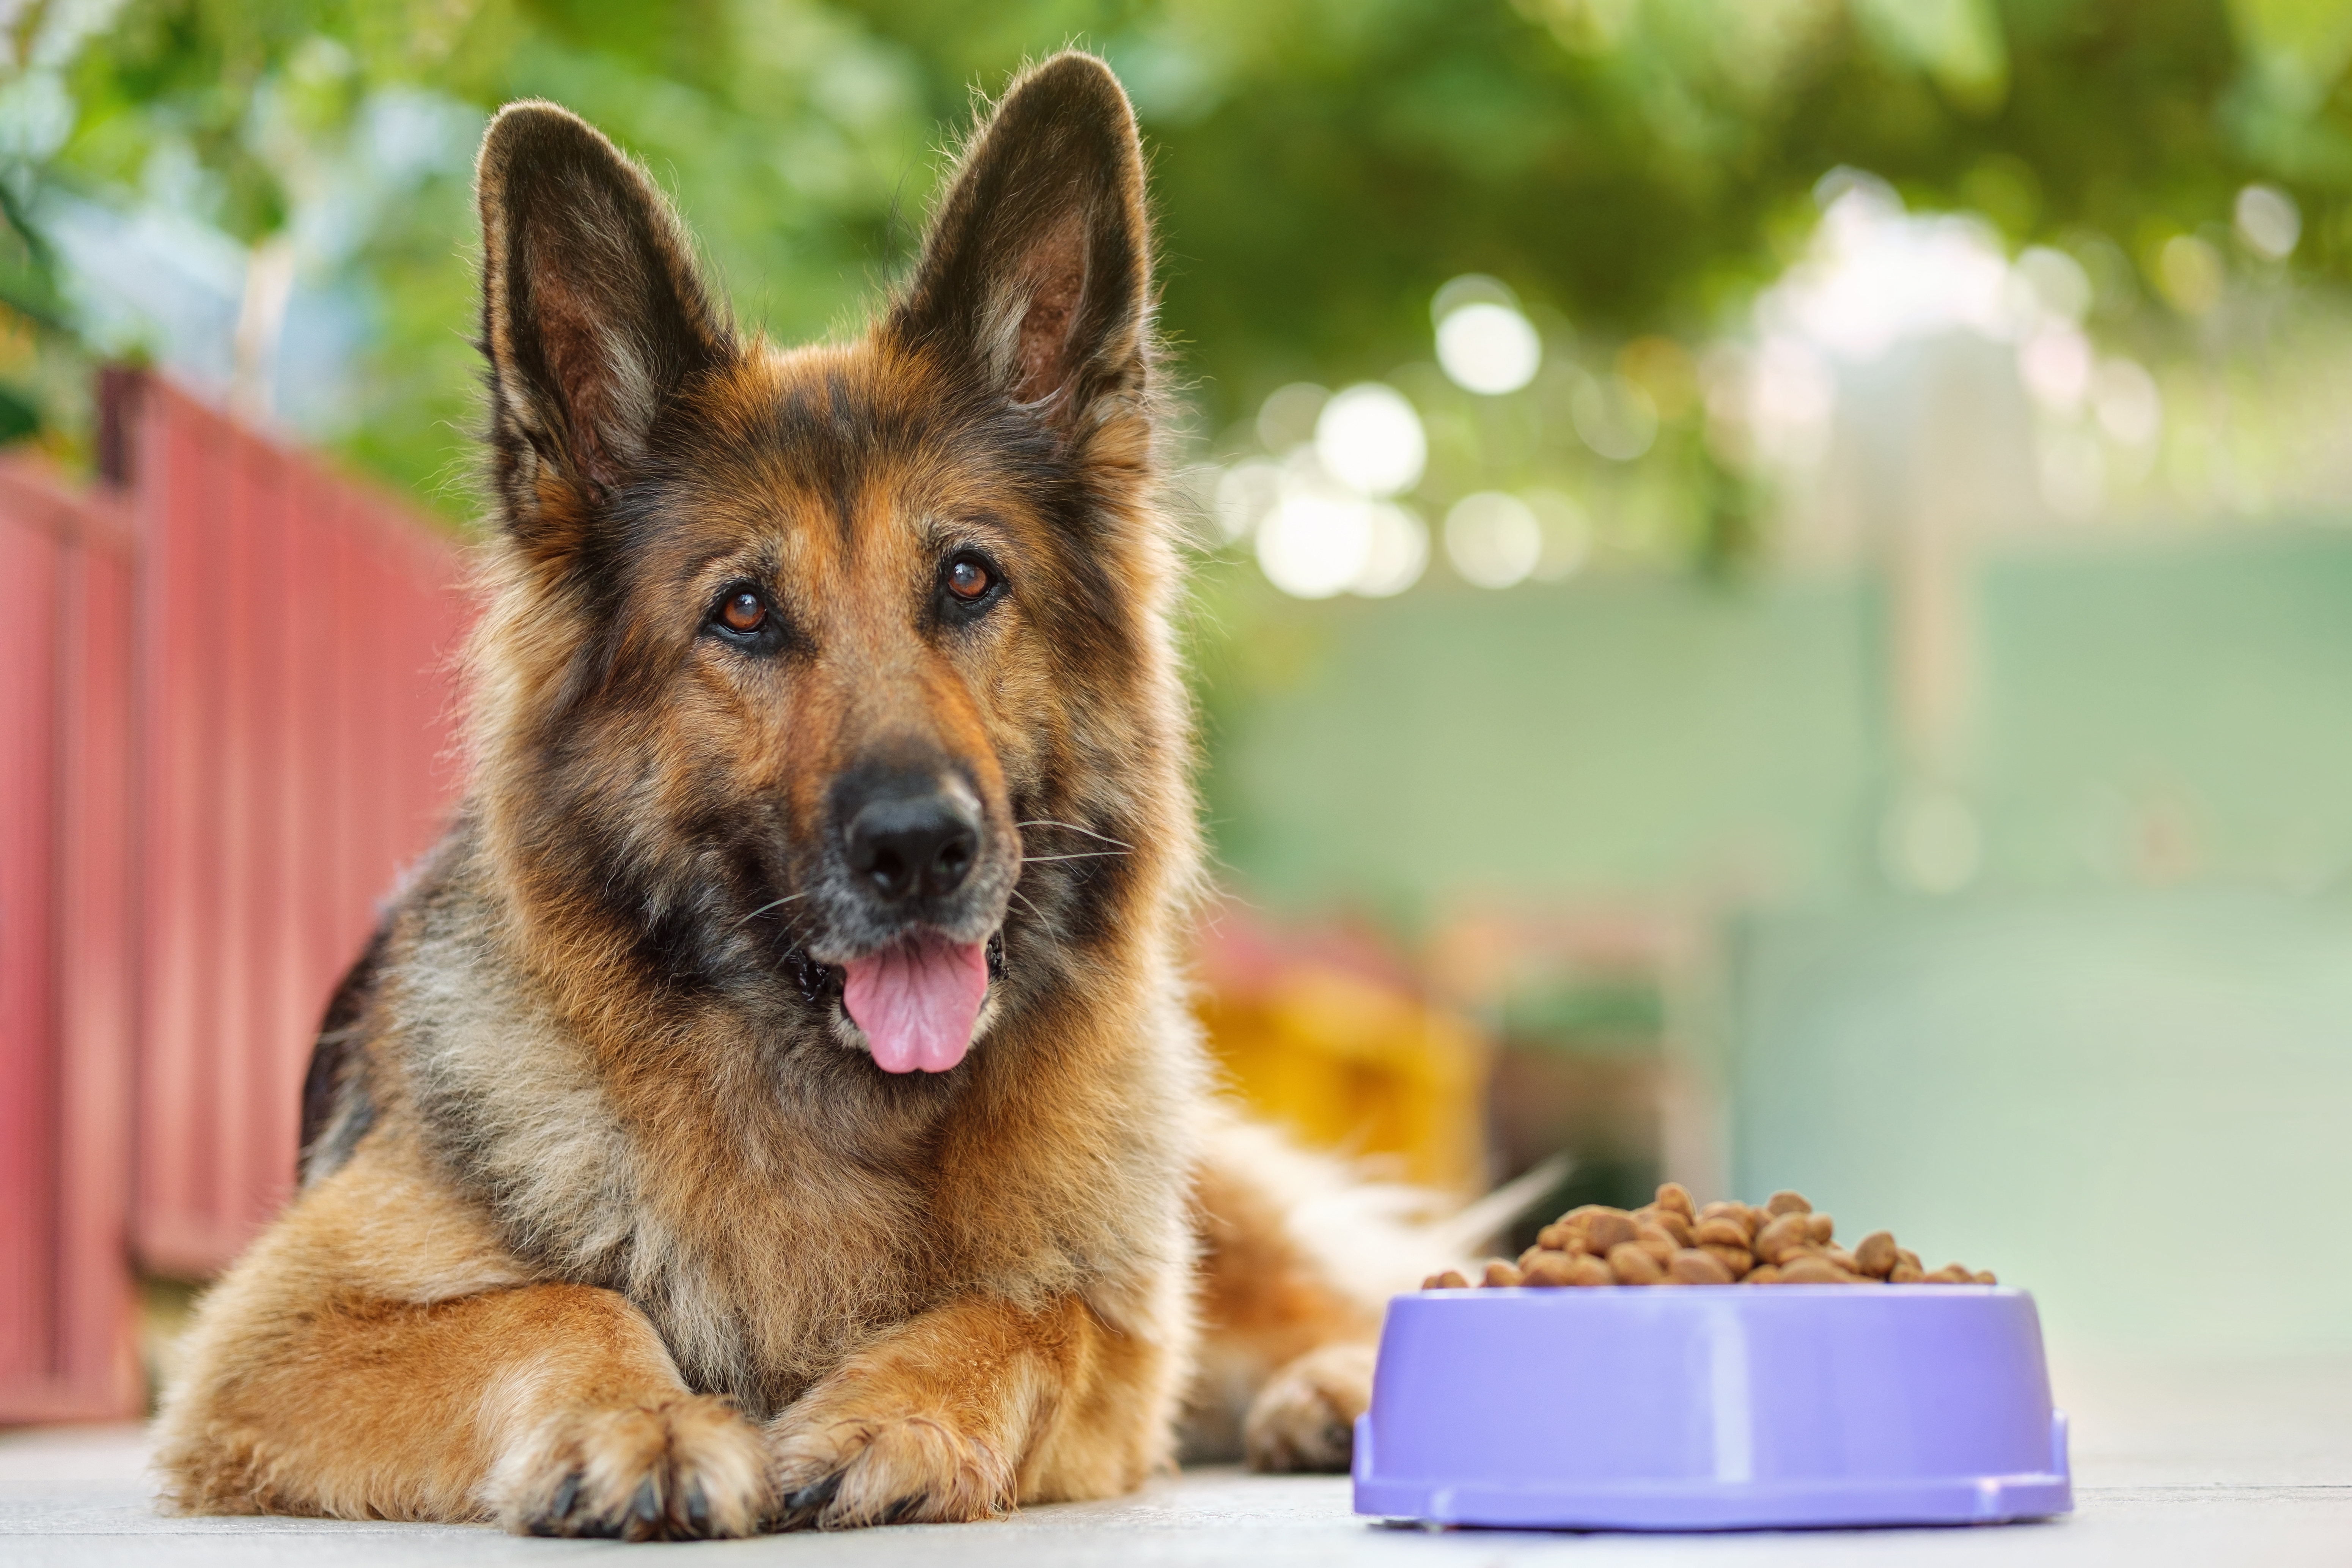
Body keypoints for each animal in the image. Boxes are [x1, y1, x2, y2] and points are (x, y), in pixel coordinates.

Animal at [156, 52, 1402, 1542]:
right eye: (743, 611)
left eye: (968, 580)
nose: (921, 850)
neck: (841, 1117)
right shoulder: (270, 1336)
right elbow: (559, 1298)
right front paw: (641, 1422)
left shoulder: (1122, 1337)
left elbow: (1036, 1314)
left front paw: (895, 1411)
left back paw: (1338, 1387)